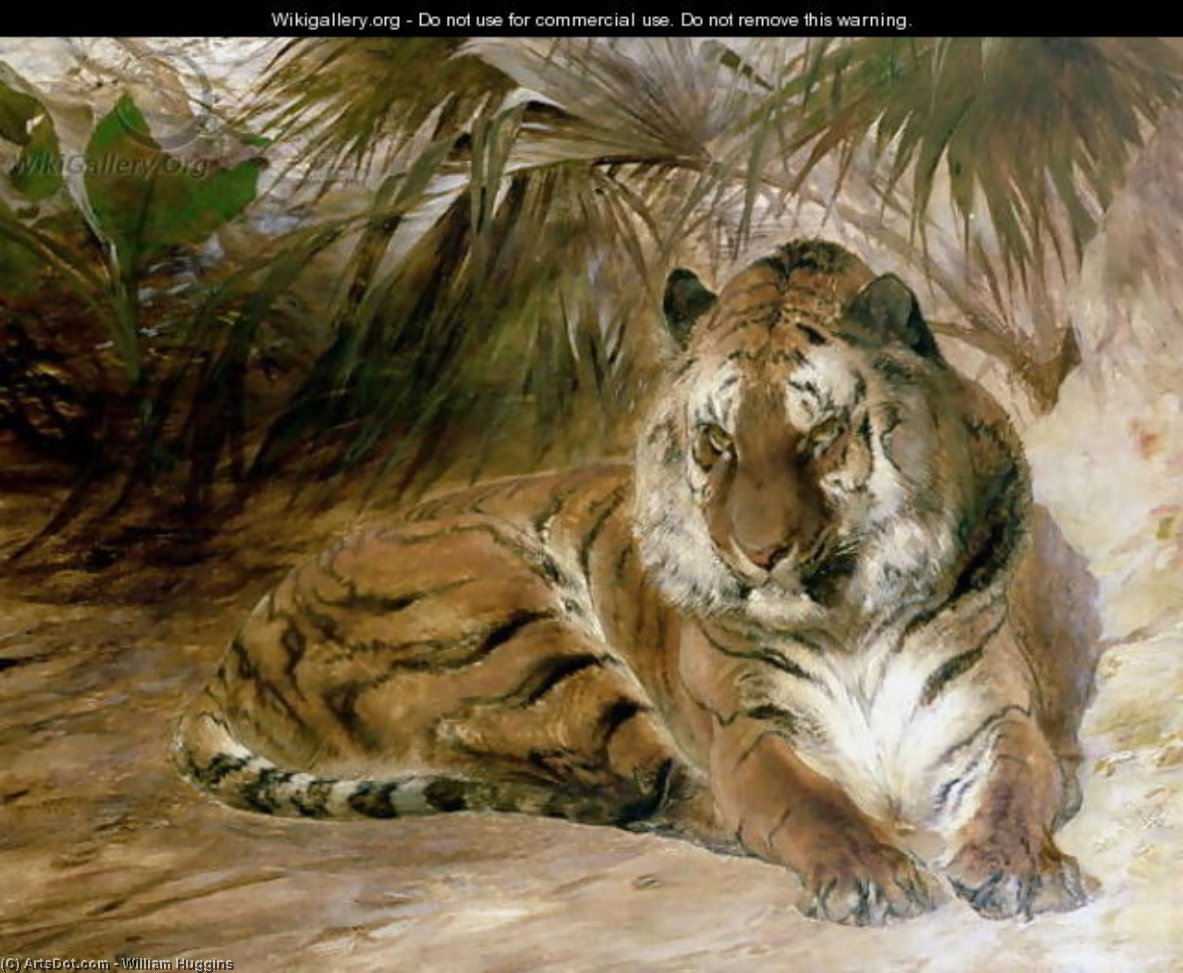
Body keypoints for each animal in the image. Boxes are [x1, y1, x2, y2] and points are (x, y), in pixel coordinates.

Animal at [174, 239, 1092, 926]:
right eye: (717, 441)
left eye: (821, 435)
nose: (759, 552)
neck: (846, 615)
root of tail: (225, 665)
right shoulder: (747, 731)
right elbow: (804, 799)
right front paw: (872, 873)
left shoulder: (992, 712)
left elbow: (1022, 780)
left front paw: (1019, 865)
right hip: (512, 632)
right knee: (653, 789)